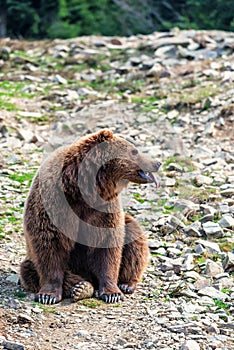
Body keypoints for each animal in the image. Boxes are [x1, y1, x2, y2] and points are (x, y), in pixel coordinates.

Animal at [20, 130, 161, 304]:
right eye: (134, 151)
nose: (157, 163)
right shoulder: (53, 203)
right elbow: (49, 244)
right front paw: (48, 295)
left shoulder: (103, 209)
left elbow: (107, 245)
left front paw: (112, 293)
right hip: (32, 262)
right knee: (29, 271)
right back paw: (81, 286)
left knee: (133, 237)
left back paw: (126, 284)